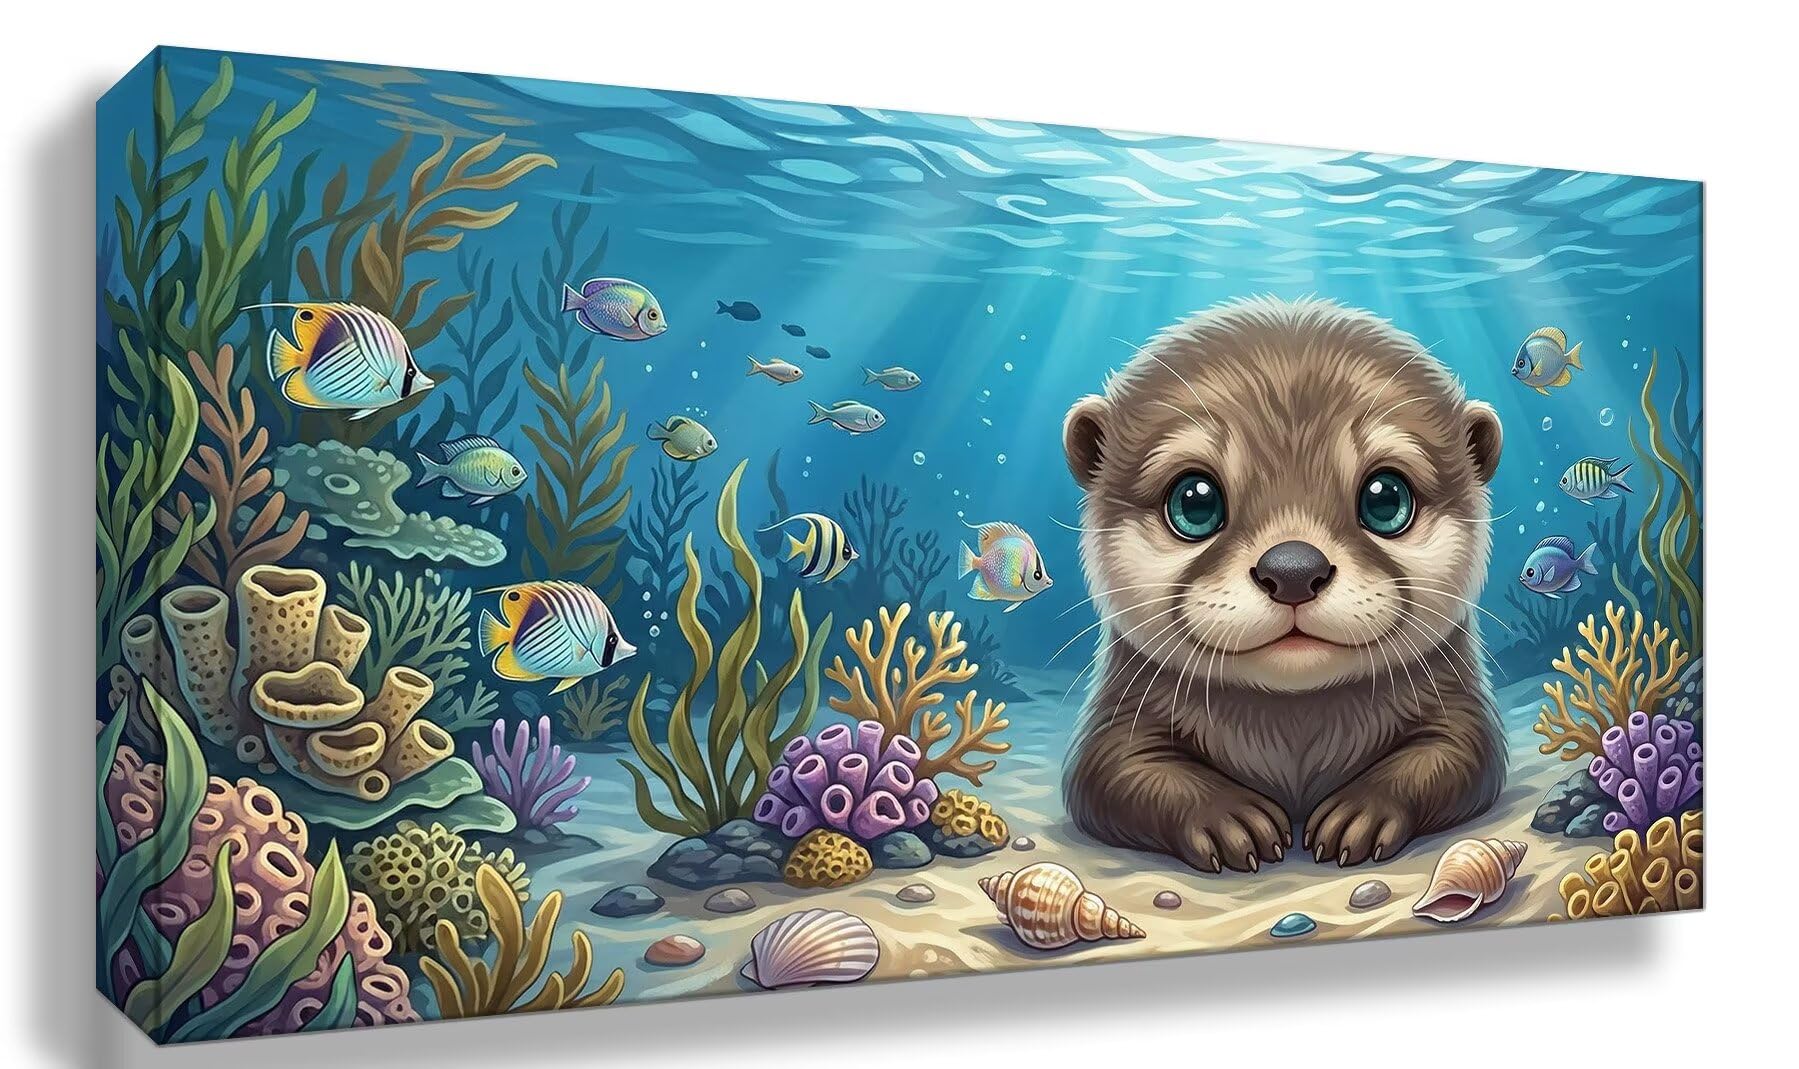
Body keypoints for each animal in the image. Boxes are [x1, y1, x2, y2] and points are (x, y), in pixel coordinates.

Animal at [1061, 297, 1506, 872]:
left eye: (1386, 498)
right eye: (1194, 502)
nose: (1293, 569)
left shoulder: (1460, 706)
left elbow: (1459, 757)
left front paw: (1361, 812)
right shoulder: (1118, 718)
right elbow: (1112, 774)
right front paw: (1227, 816)